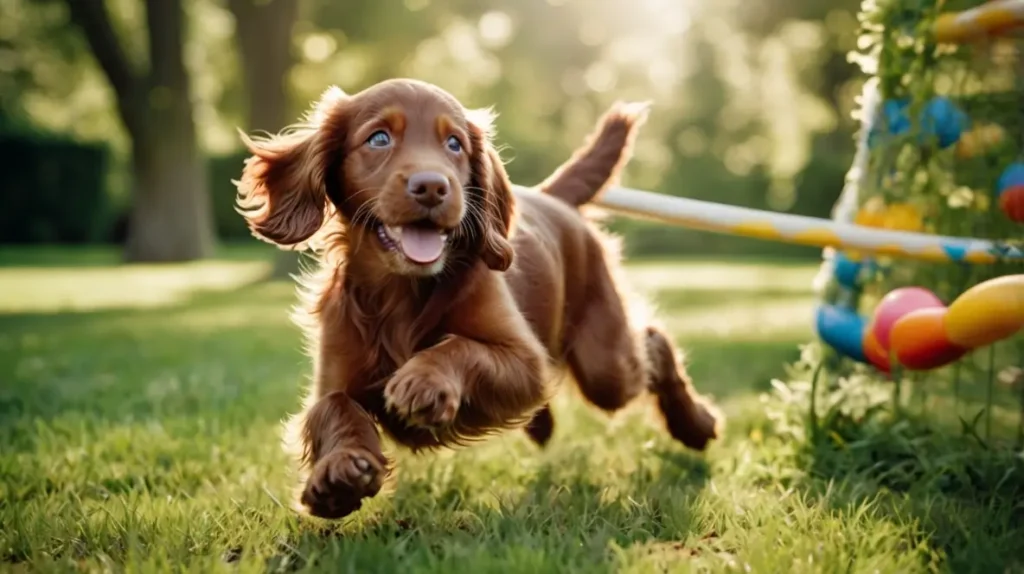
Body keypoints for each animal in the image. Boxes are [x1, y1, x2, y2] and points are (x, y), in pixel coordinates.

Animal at [236, 79, 724, 519]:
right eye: (378, 138)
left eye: (454, 143)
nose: (432, 187)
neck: (401, 291)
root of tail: (552, 198)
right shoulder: (335, 373)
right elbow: (330, 409)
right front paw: (338, 475)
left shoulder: (525, 360)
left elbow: (461, 348)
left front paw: (423, 381)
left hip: (605, 366)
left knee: (653, 343)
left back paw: (696, 425)